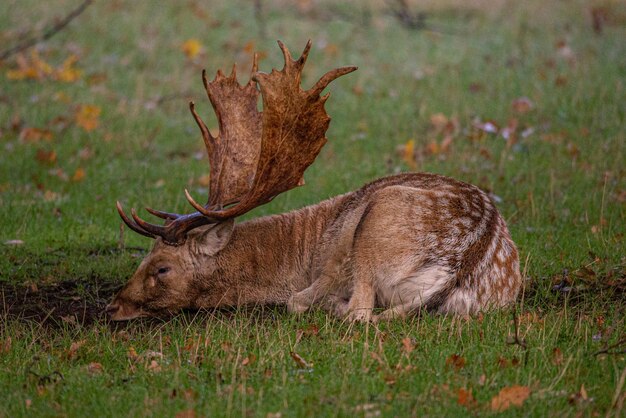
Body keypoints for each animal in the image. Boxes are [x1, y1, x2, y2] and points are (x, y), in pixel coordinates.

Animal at [105, 40, 520, 322]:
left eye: (162, 268)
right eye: (144, 257)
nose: (113, 305)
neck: (301, 256)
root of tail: (463, 263)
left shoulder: (332, 264)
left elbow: (300, 300)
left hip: (378, 219)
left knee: (359, 313)